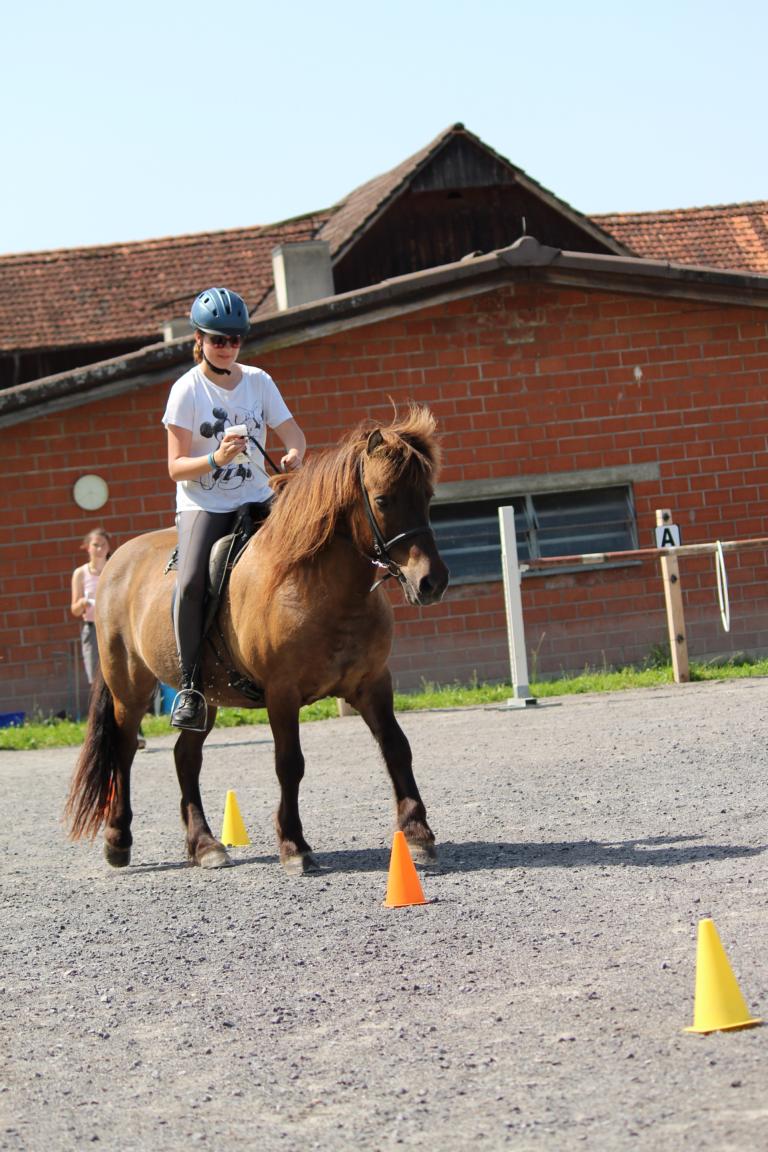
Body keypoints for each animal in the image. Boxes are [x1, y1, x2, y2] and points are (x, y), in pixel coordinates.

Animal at [65, 405, 450, 875]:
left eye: (427, 496)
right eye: (382, 500)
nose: (431, 582)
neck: (320, 587)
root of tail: (117, 561)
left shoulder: (373, 683)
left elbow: (397, 748)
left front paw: (417, 835)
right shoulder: (282, 693)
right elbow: (289, 763)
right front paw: (295, 845)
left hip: (204, 699)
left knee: (185, 757)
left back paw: (205, 845)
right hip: (129, 688)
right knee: (123, 751)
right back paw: (118, 840)